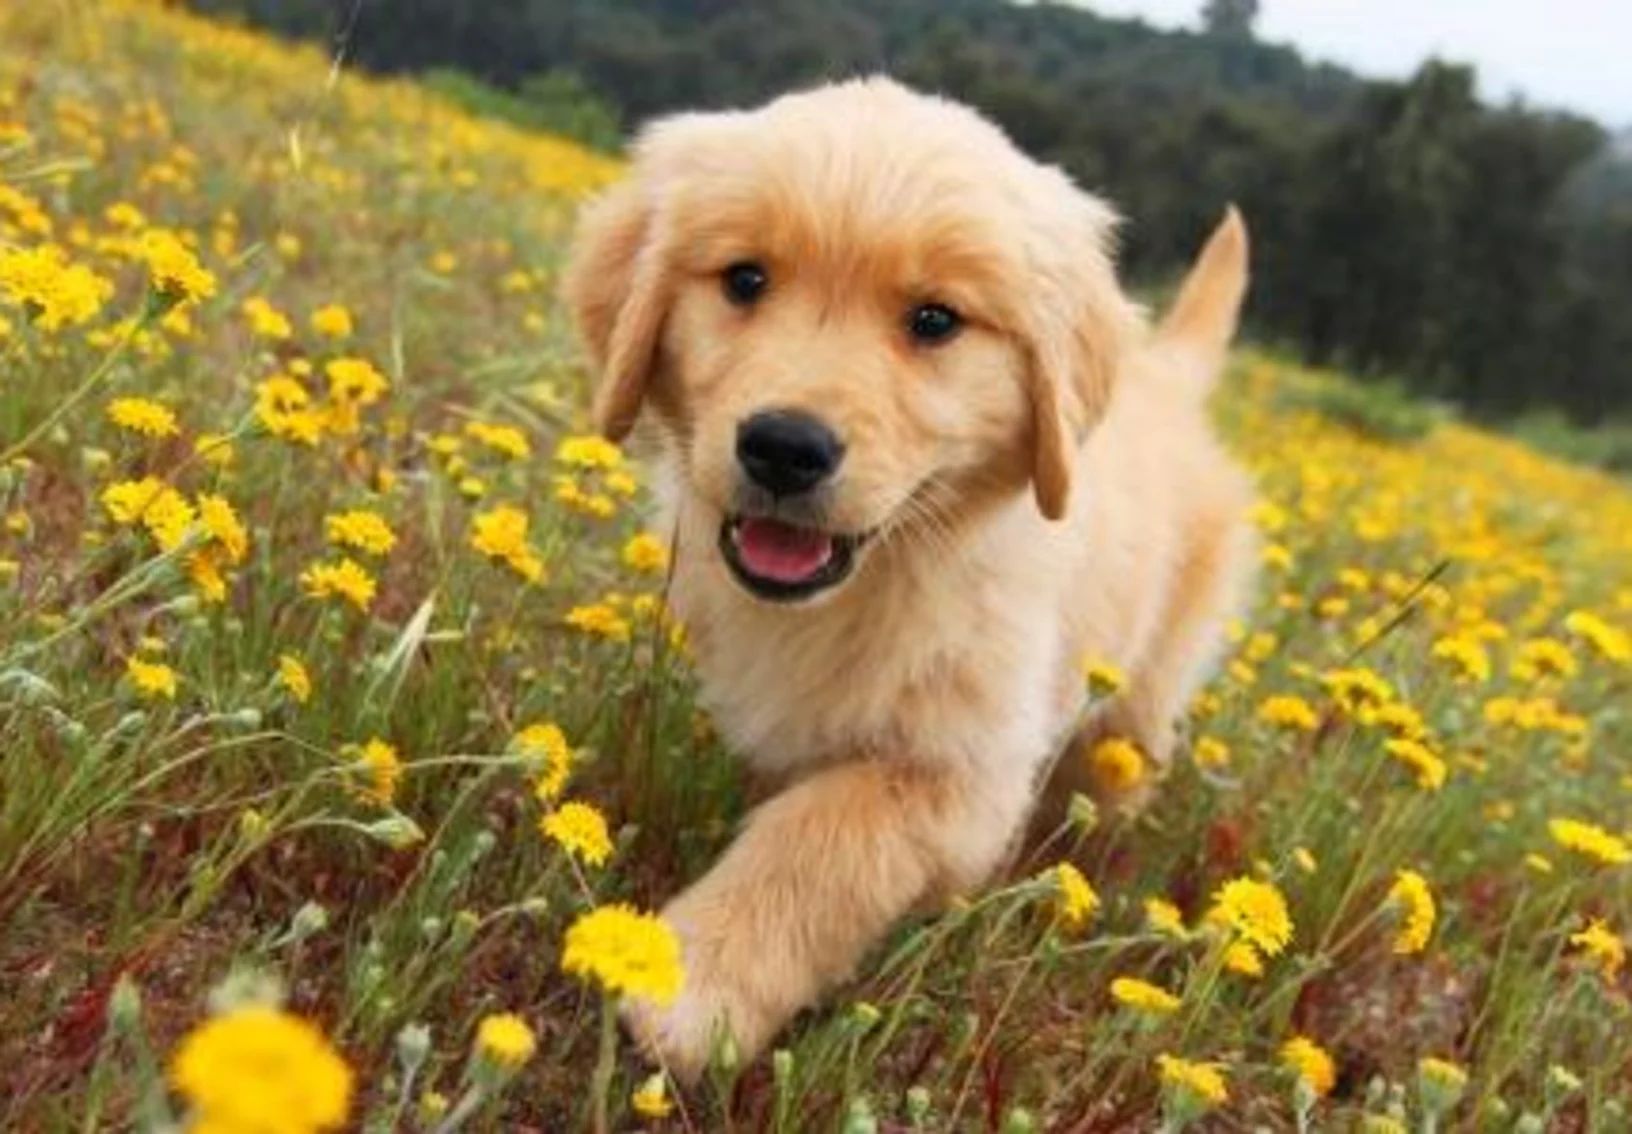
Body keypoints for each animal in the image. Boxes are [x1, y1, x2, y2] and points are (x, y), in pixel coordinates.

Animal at [567, 75, 1253, 1076]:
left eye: (935, 321)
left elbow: (825, 837)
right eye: (745, 280)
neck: (884, 571)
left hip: (1137, 707)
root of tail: (1165, 378)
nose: (785, 446)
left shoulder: (962, 770)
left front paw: (692, 986)